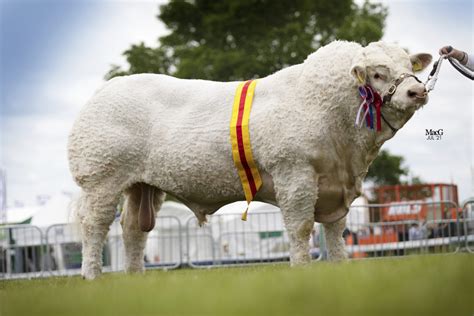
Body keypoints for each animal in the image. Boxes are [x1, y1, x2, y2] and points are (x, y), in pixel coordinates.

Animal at [68, 40, 432, 278]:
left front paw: (340, 267)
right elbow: (301, 227)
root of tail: (105, 90)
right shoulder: (294, 174)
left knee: (134, 229)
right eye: (378, 74)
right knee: (95, 226)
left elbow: (335, 232)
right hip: (101, 179)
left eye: (408, 66)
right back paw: (92, 276)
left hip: (142, 185)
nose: (417, 91)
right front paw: (301, 269)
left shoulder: (337, 185)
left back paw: (134, 279)